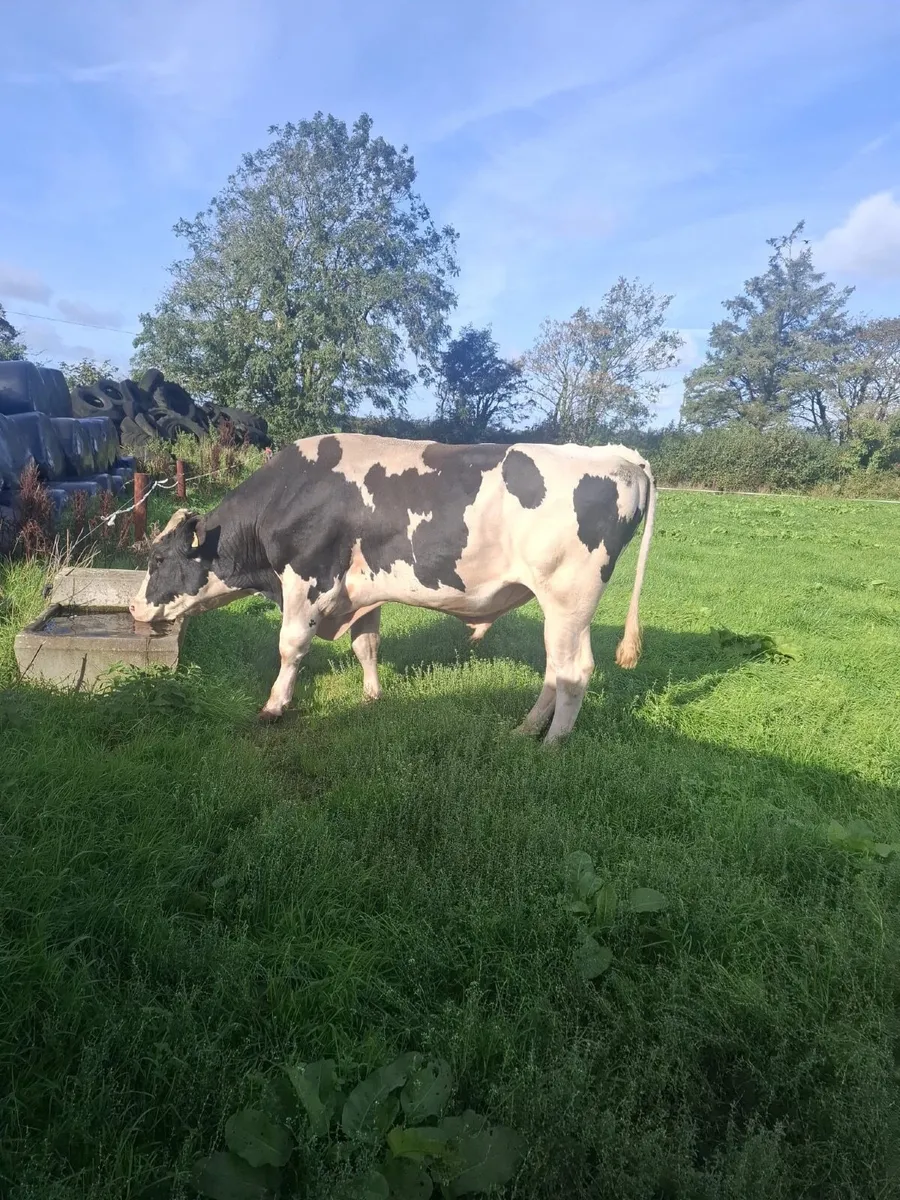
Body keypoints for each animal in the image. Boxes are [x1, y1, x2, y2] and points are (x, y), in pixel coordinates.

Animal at [129, 433, 656, 745]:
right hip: (565, 610)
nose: (133, 607)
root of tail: (619, 454)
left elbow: (290, 646)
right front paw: (372, 696)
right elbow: (366, 644)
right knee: (556, 669)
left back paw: (551, 745)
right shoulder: (361, 591)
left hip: (569, 598)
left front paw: (274, 706)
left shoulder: (309, 578)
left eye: (158, 559)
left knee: (574, 671)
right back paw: (524, 729)